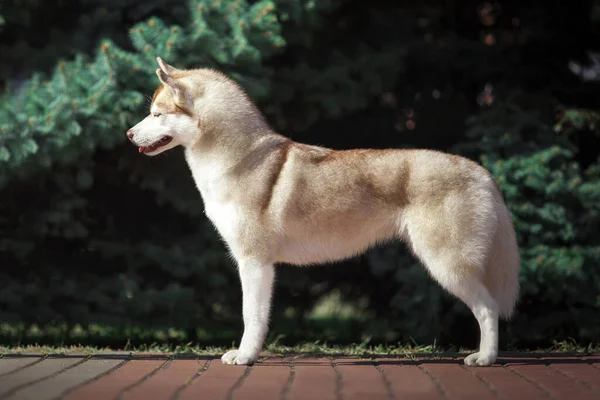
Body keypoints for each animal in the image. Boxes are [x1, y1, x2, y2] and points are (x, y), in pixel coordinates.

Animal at [126, 57, 520, 368]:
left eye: (157, 114)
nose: (128, 134)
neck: (236, 159)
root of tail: (483, 172)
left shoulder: (253, 261)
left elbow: (250, 316)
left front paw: (245, 357)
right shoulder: (260, 264)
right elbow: (258, 316)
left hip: (446, 264)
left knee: (488, 310)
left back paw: (485, 358)